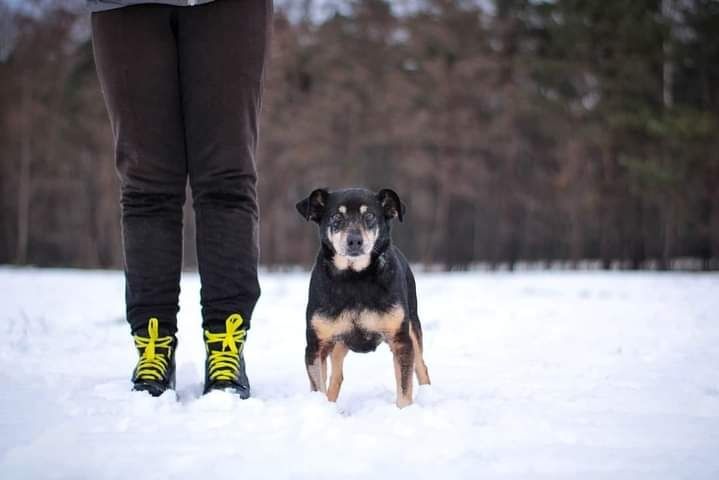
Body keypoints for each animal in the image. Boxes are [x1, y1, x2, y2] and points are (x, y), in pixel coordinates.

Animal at [296, 186, 430, 406]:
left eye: (369, 216)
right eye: (336, 217)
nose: (354, 240)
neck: (354, 278)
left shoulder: (401, 340)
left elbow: (404, 389)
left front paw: (404, 410)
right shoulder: (317, 345)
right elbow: (319, 386)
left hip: (413, 327)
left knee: (421, 367)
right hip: (338, 343)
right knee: (337, 376)